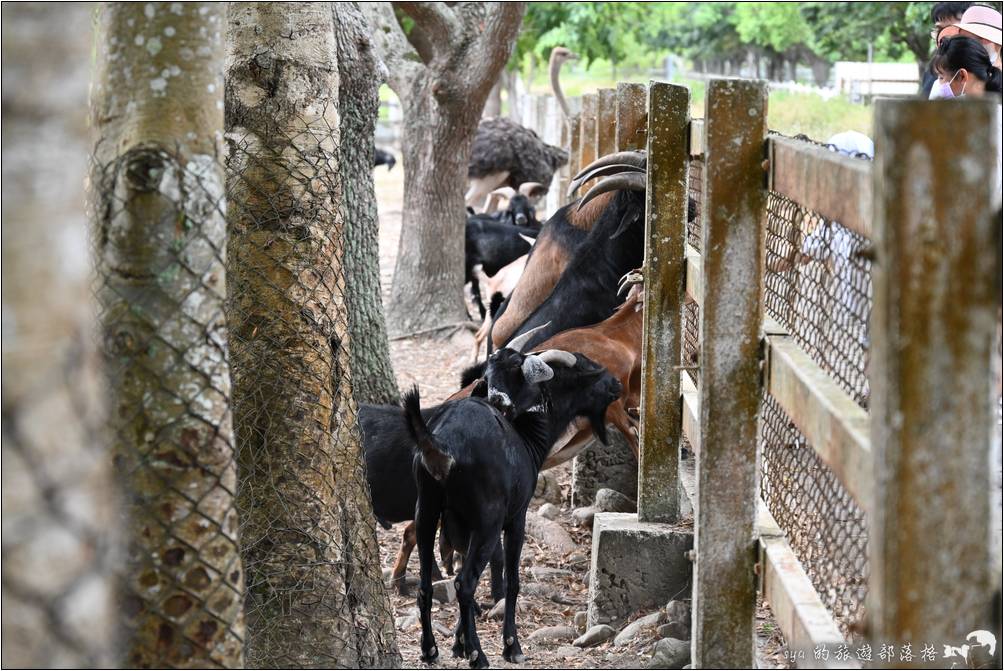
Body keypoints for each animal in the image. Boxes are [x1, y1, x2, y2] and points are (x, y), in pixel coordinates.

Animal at [399, 345, 618, 666]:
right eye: (579, 369)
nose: (615, 383)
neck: (525, 437)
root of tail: (443, 443)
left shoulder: (463, 530)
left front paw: (458, 643)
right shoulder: (516, 519)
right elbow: (511, 581)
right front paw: (510, 646)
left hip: (426, 511)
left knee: (427, 586)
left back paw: (429, 650)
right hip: (488, 523)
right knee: (465, 583)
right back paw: (479, 655)